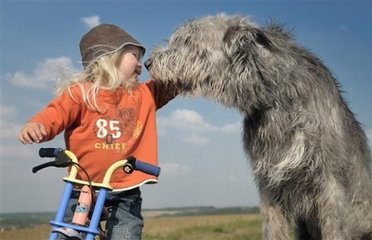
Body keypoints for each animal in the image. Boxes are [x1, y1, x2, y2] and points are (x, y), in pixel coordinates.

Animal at [146, 14, 372, 240]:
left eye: (187, 40)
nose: (148, 62)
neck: (277, 98)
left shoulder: (330, 182)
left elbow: (335, 226)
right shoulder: (269, 182)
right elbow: (273, 227)